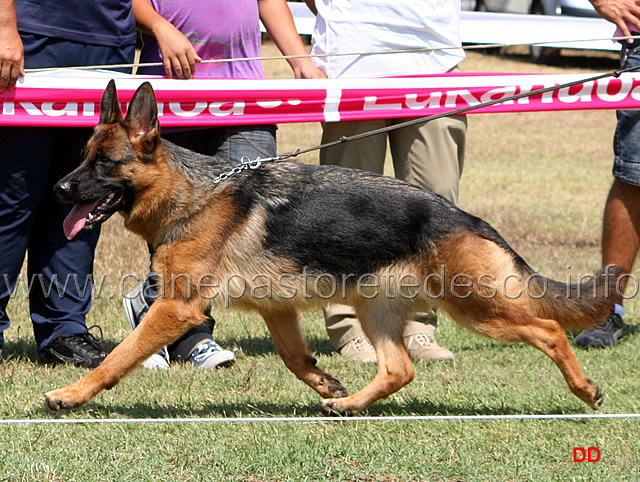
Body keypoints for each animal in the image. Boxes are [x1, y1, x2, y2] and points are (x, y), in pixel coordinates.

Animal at [48, 82, 620, 414]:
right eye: (83, 156)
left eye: (104, 164)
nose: (58, 189)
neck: (193, 194)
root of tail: (465, 216)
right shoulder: (276, 309)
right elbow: (295, 357)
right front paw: (326, 384)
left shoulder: (175, 308)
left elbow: (119, 357)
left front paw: (70, 395)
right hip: (377, 308)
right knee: (399, 369)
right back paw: (347, 407)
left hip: (475, 307)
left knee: (548, 329)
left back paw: (585, 390)